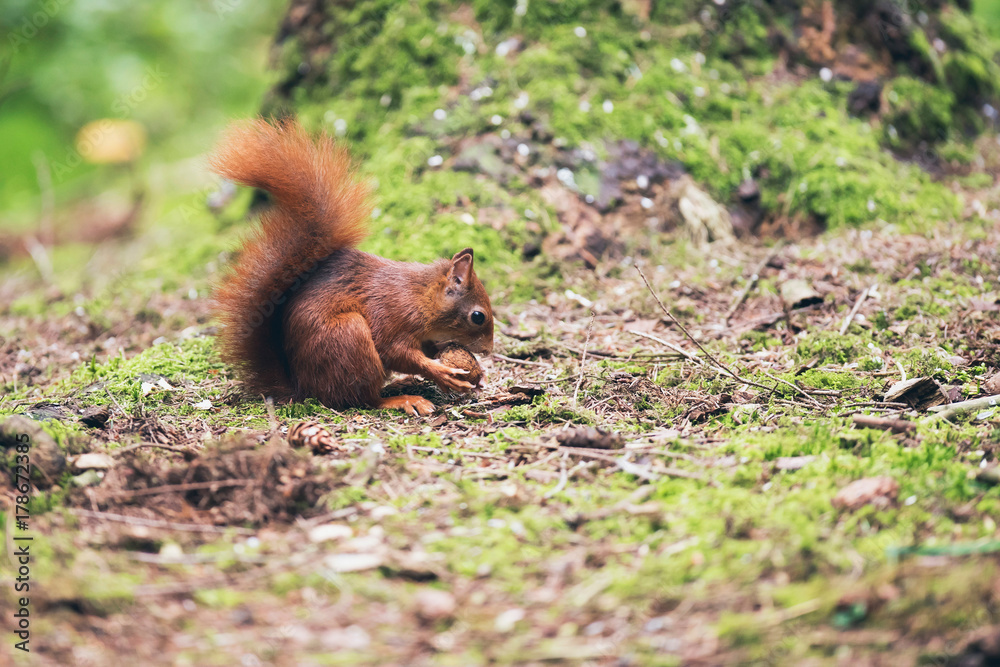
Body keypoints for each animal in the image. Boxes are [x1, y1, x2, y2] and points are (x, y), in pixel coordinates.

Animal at [211, 118, 494, 416]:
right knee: (362, 399)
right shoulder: (391, 315)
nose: (488, 350)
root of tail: (303, 389)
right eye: (478, 316)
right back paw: (401, 399)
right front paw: (442, 373)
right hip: (349, 337)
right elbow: (396, 352)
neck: (420, 296)